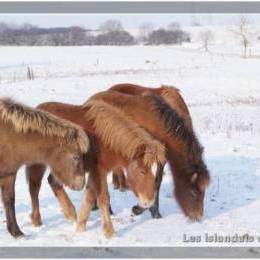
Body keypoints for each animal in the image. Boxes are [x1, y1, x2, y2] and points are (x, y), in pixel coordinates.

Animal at [0, 97, 89, 238]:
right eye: (75, 157)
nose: (80, 184)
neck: (8, 135)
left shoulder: (9, 173)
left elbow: (9, 200)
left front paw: (16, 232)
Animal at [26, 100, 165, 239]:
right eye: (142, 171)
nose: (149, 201)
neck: (105, 139)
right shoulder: (99, 171)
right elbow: (103, 199)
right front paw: (109, 232)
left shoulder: (95, 172)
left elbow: (89, 198)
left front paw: (80, 227)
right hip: (38, 164)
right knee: (35, 187)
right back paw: (37, 220)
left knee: (53, 182)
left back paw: (70, 213)